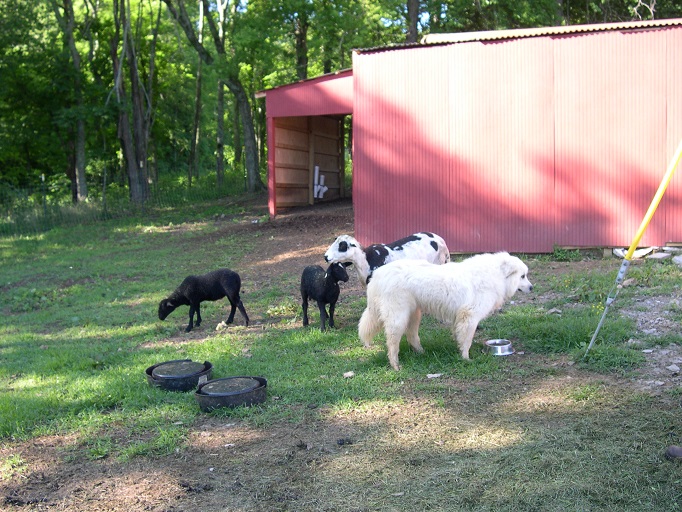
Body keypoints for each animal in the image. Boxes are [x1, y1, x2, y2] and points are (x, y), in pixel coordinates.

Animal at [356, 253, 532, 370]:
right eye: (522, 276)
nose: (532, 287)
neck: (496, 274)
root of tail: (378, 275)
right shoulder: (470, 317)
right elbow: (467, 340)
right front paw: (466, 359)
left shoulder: (460, 318)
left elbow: (460, 336)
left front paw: (459, 351)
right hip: (398, 318)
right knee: (393, 344)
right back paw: (396, 366)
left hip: (414, 314)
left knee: (412, 336)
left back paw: (422, 353)